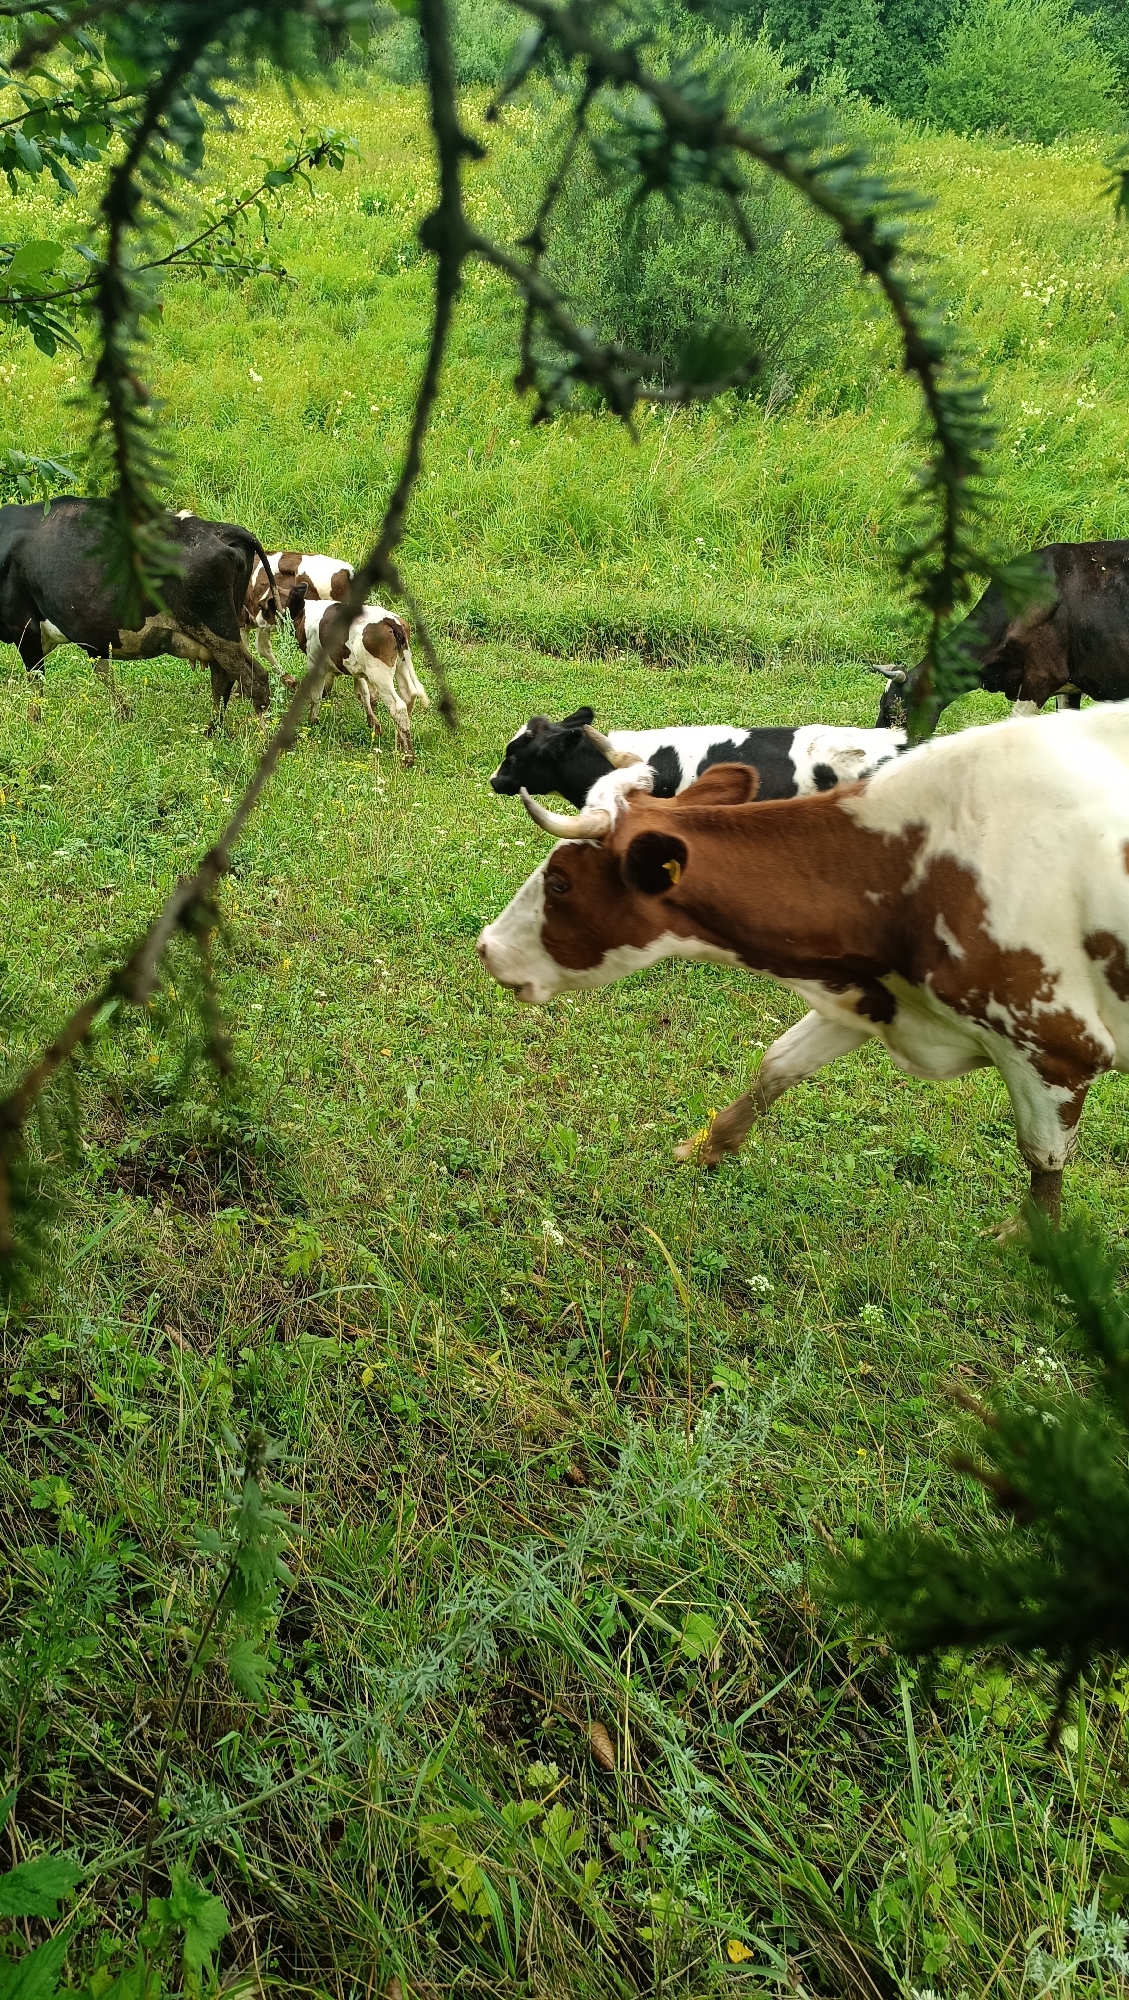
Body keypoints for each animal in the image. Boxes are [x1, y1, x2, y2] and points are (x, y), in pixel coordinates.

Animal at [0, 498, 275, 727]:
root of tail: (220, 531)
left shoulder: (23, 624)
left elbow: (36, 680)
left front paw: (34, 723)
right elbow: (102, 671)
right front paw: (125, 713)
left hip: (216, 630)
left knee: (255, 678)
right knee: (224, 678)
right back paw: (212, 731)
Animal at [289, 582, 428, 761]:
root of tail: (390, 621)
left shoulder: (314, 661)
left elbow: (316, 695)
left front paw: (312, 721)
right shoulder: (357, 669)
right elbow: (363, 693)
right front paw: (374, 724)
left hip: (380, 674)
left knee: (398, 706)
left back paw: (408, 757)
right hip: (400, 665)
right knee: (409, 695)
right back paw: (399, 742)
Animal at [478, 705, 1129, 1224]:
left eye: (559, 882)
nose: (488, 947)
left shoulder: (1056, 1051)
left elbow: (1044, 1159)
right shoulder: (871, 993)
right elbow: (779, 1063)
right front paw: (708, 1148)